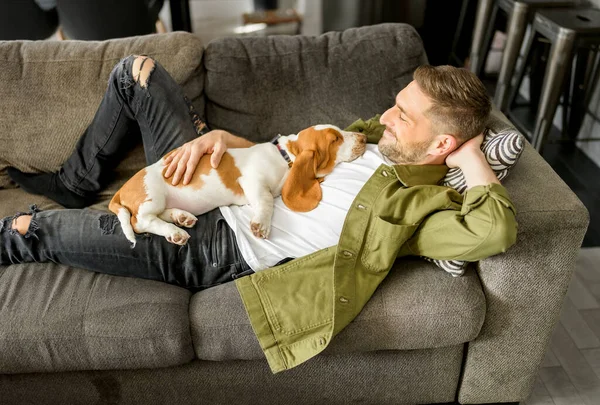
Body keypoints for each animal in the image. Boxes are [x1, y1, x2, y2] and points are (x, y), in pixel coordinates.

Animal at [110, 123, 368, 245]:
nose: (364, 138)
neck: (285, 157)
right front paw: (261, 225)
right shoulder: (254, 183)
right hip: (152, 197)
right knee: (140, 222)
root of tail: (121, 190)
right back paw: (175, 232)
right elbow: (266, 201)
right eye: (335, 139)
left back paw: (181, 218)